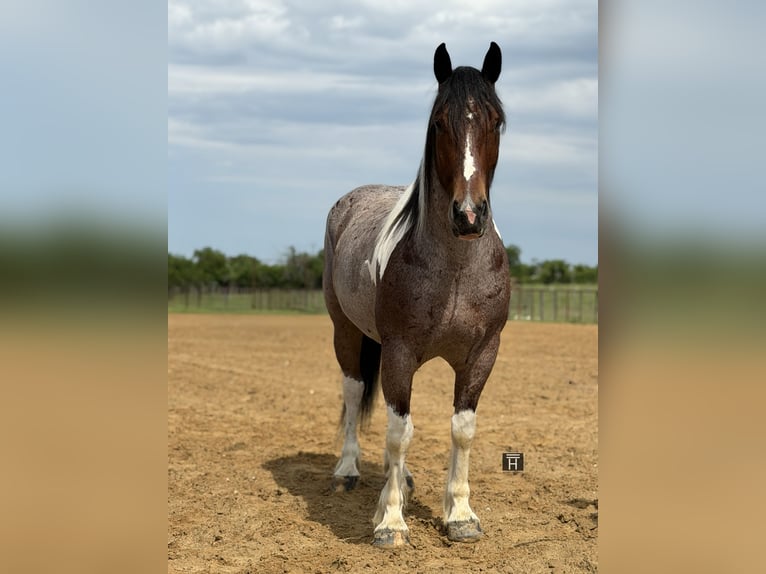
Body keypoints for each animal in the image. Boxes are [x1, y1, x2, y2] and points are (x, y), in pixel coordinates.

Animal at [322, 42, 510, 547]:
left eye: (496, 121)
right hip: (345, 331)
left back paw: (401, 480)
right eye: (439, 122)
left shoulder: (481, 354)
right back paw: (348, 470)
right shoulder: (400, 352)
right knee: (354, 392)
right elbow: (397, 431)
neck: (455, 271)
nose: (469, 215)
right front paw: (390, 521)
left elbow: (461, 430)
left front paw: (460, 515)